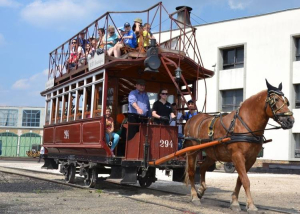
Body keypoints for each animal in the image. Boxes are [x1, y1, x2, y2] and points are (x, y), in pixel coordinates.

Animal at [184, 80, 294, 212]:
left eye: (286, 100)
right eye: (275, 99)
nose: (290, 120)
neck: (245, 124)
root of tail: (192, 120)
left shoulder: (250, 159)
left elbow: (240, 179)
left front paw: (235, 202)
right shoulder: (237, 156)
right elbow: (245, 180)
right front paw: (251, 205)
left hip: (212, 154)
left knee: (203, 168)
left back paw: (201, 190)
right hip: (192, 151)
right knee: (191, 172)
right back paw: (195, 196)